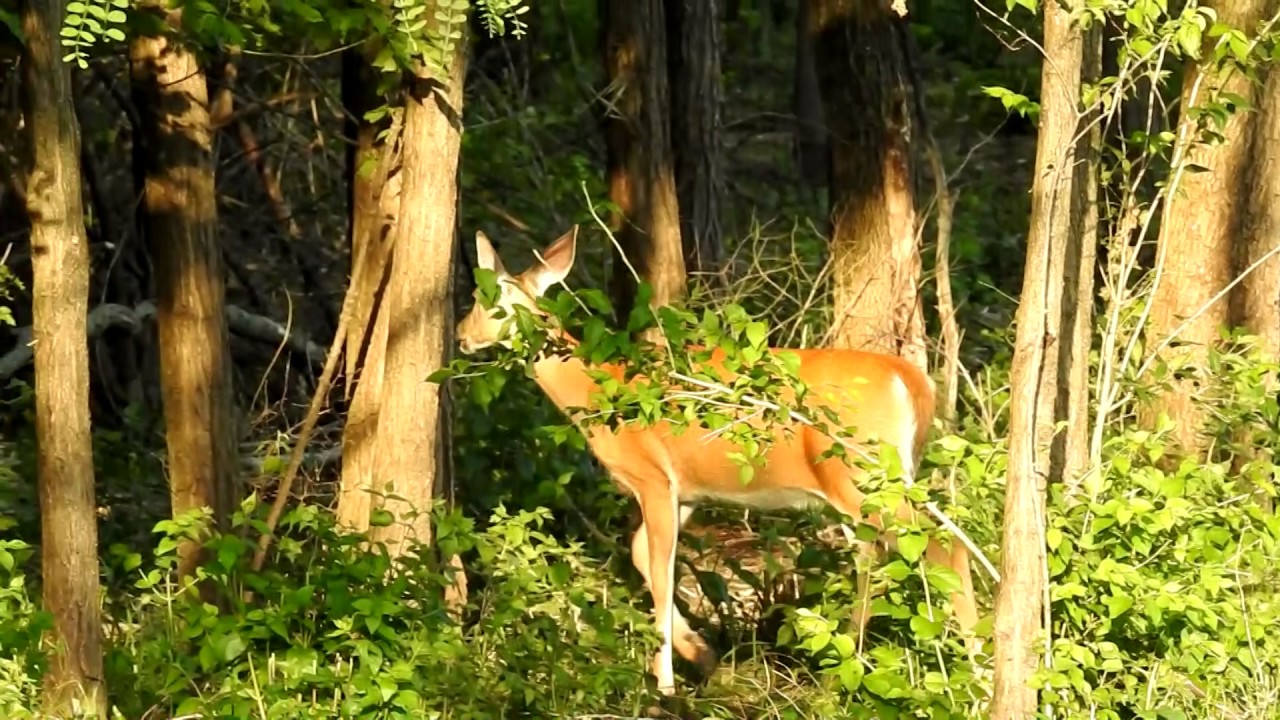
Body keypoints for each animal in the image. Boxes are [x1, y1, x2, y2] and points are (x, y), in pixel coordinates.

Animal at [455, 225, 981, 695]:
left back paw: (973, 665)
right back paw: (848, 666)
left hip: (863, 473)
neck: (597, 391)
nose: (461, 334)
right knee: (882, 556)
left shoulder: (653, 477)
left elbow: (661, 568)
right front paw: (701, 653)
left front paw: (666, 682)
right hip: (878, 478)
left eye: (488, 298)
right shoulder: (687, 490)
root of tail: (911, 379)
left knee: (943, 545)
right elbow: (641, 554)